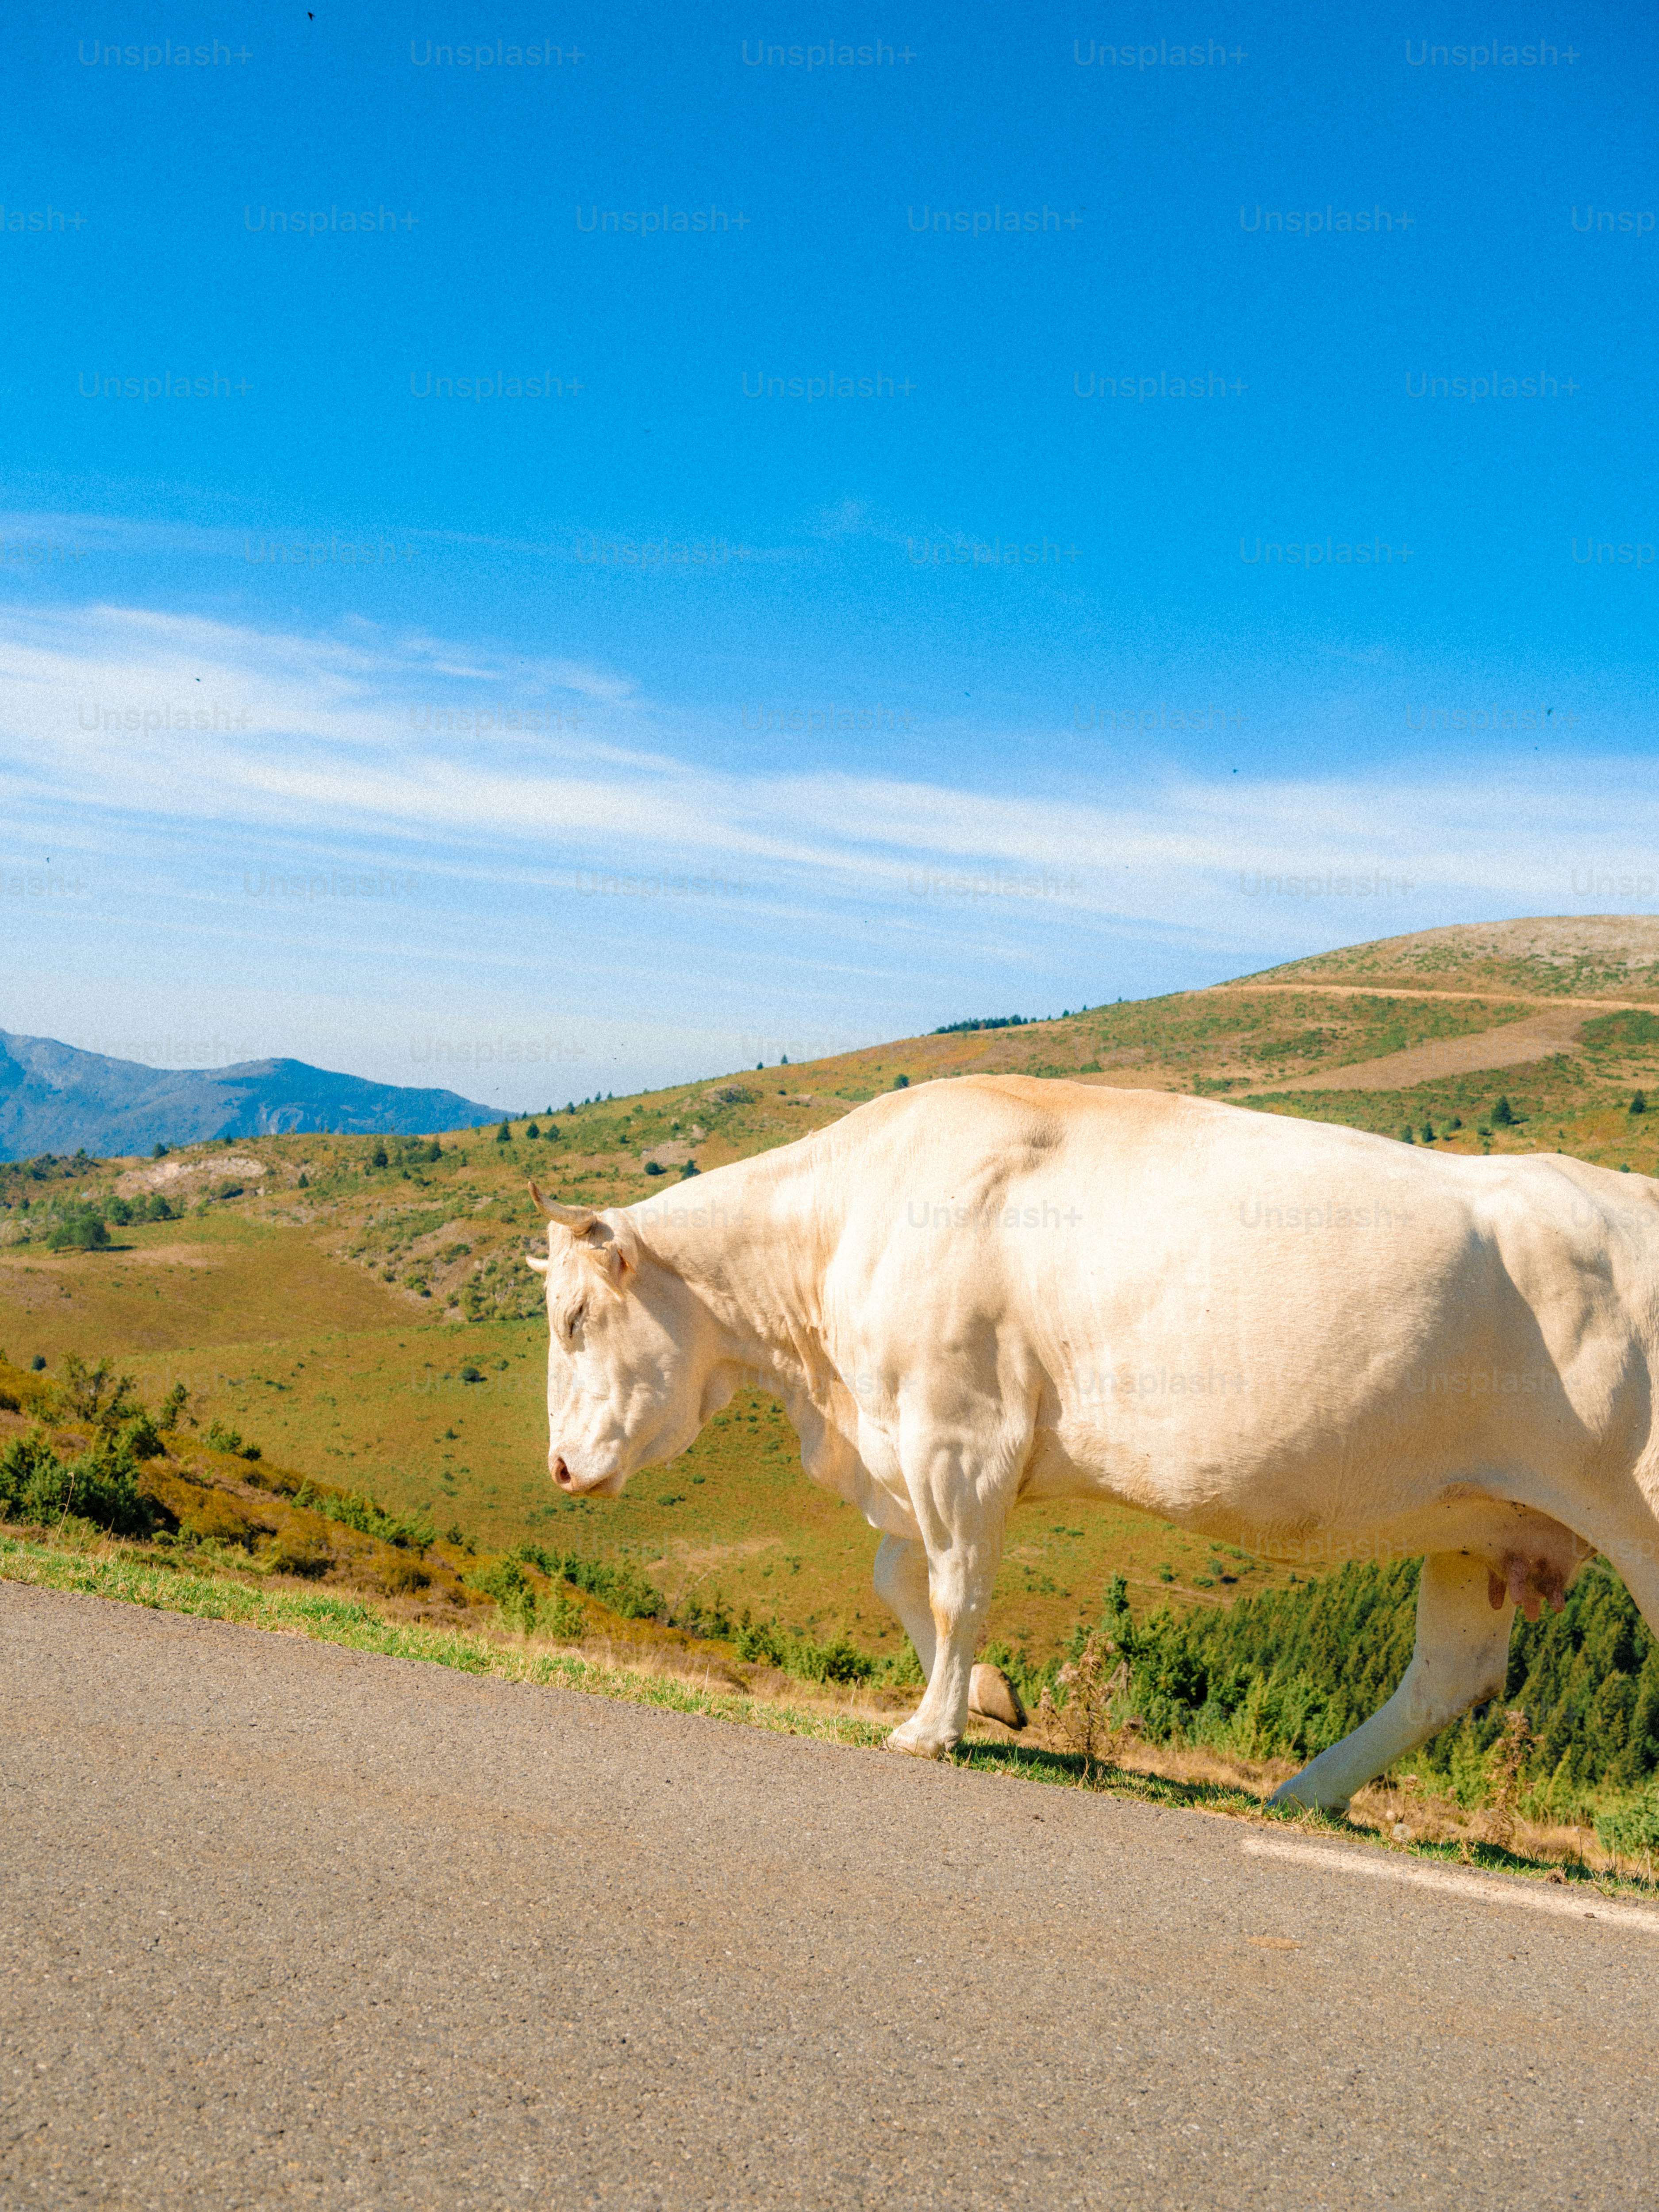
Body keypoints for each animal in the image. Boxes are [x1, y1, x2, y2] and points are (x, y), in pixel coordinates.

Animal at [526, 1075, 1659, 1810]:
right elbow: (898, 1576)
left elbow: (954, 1586)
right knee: (1448, 1677)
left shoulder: (957, 1432)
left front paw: (930, 1729)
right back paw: (1302, 1792)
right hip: (1481, 1521)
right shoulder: (912, 1441)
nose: (559, 1468)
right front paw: (990, 1698)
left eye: (576, 1317)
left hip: (1632, 1511)